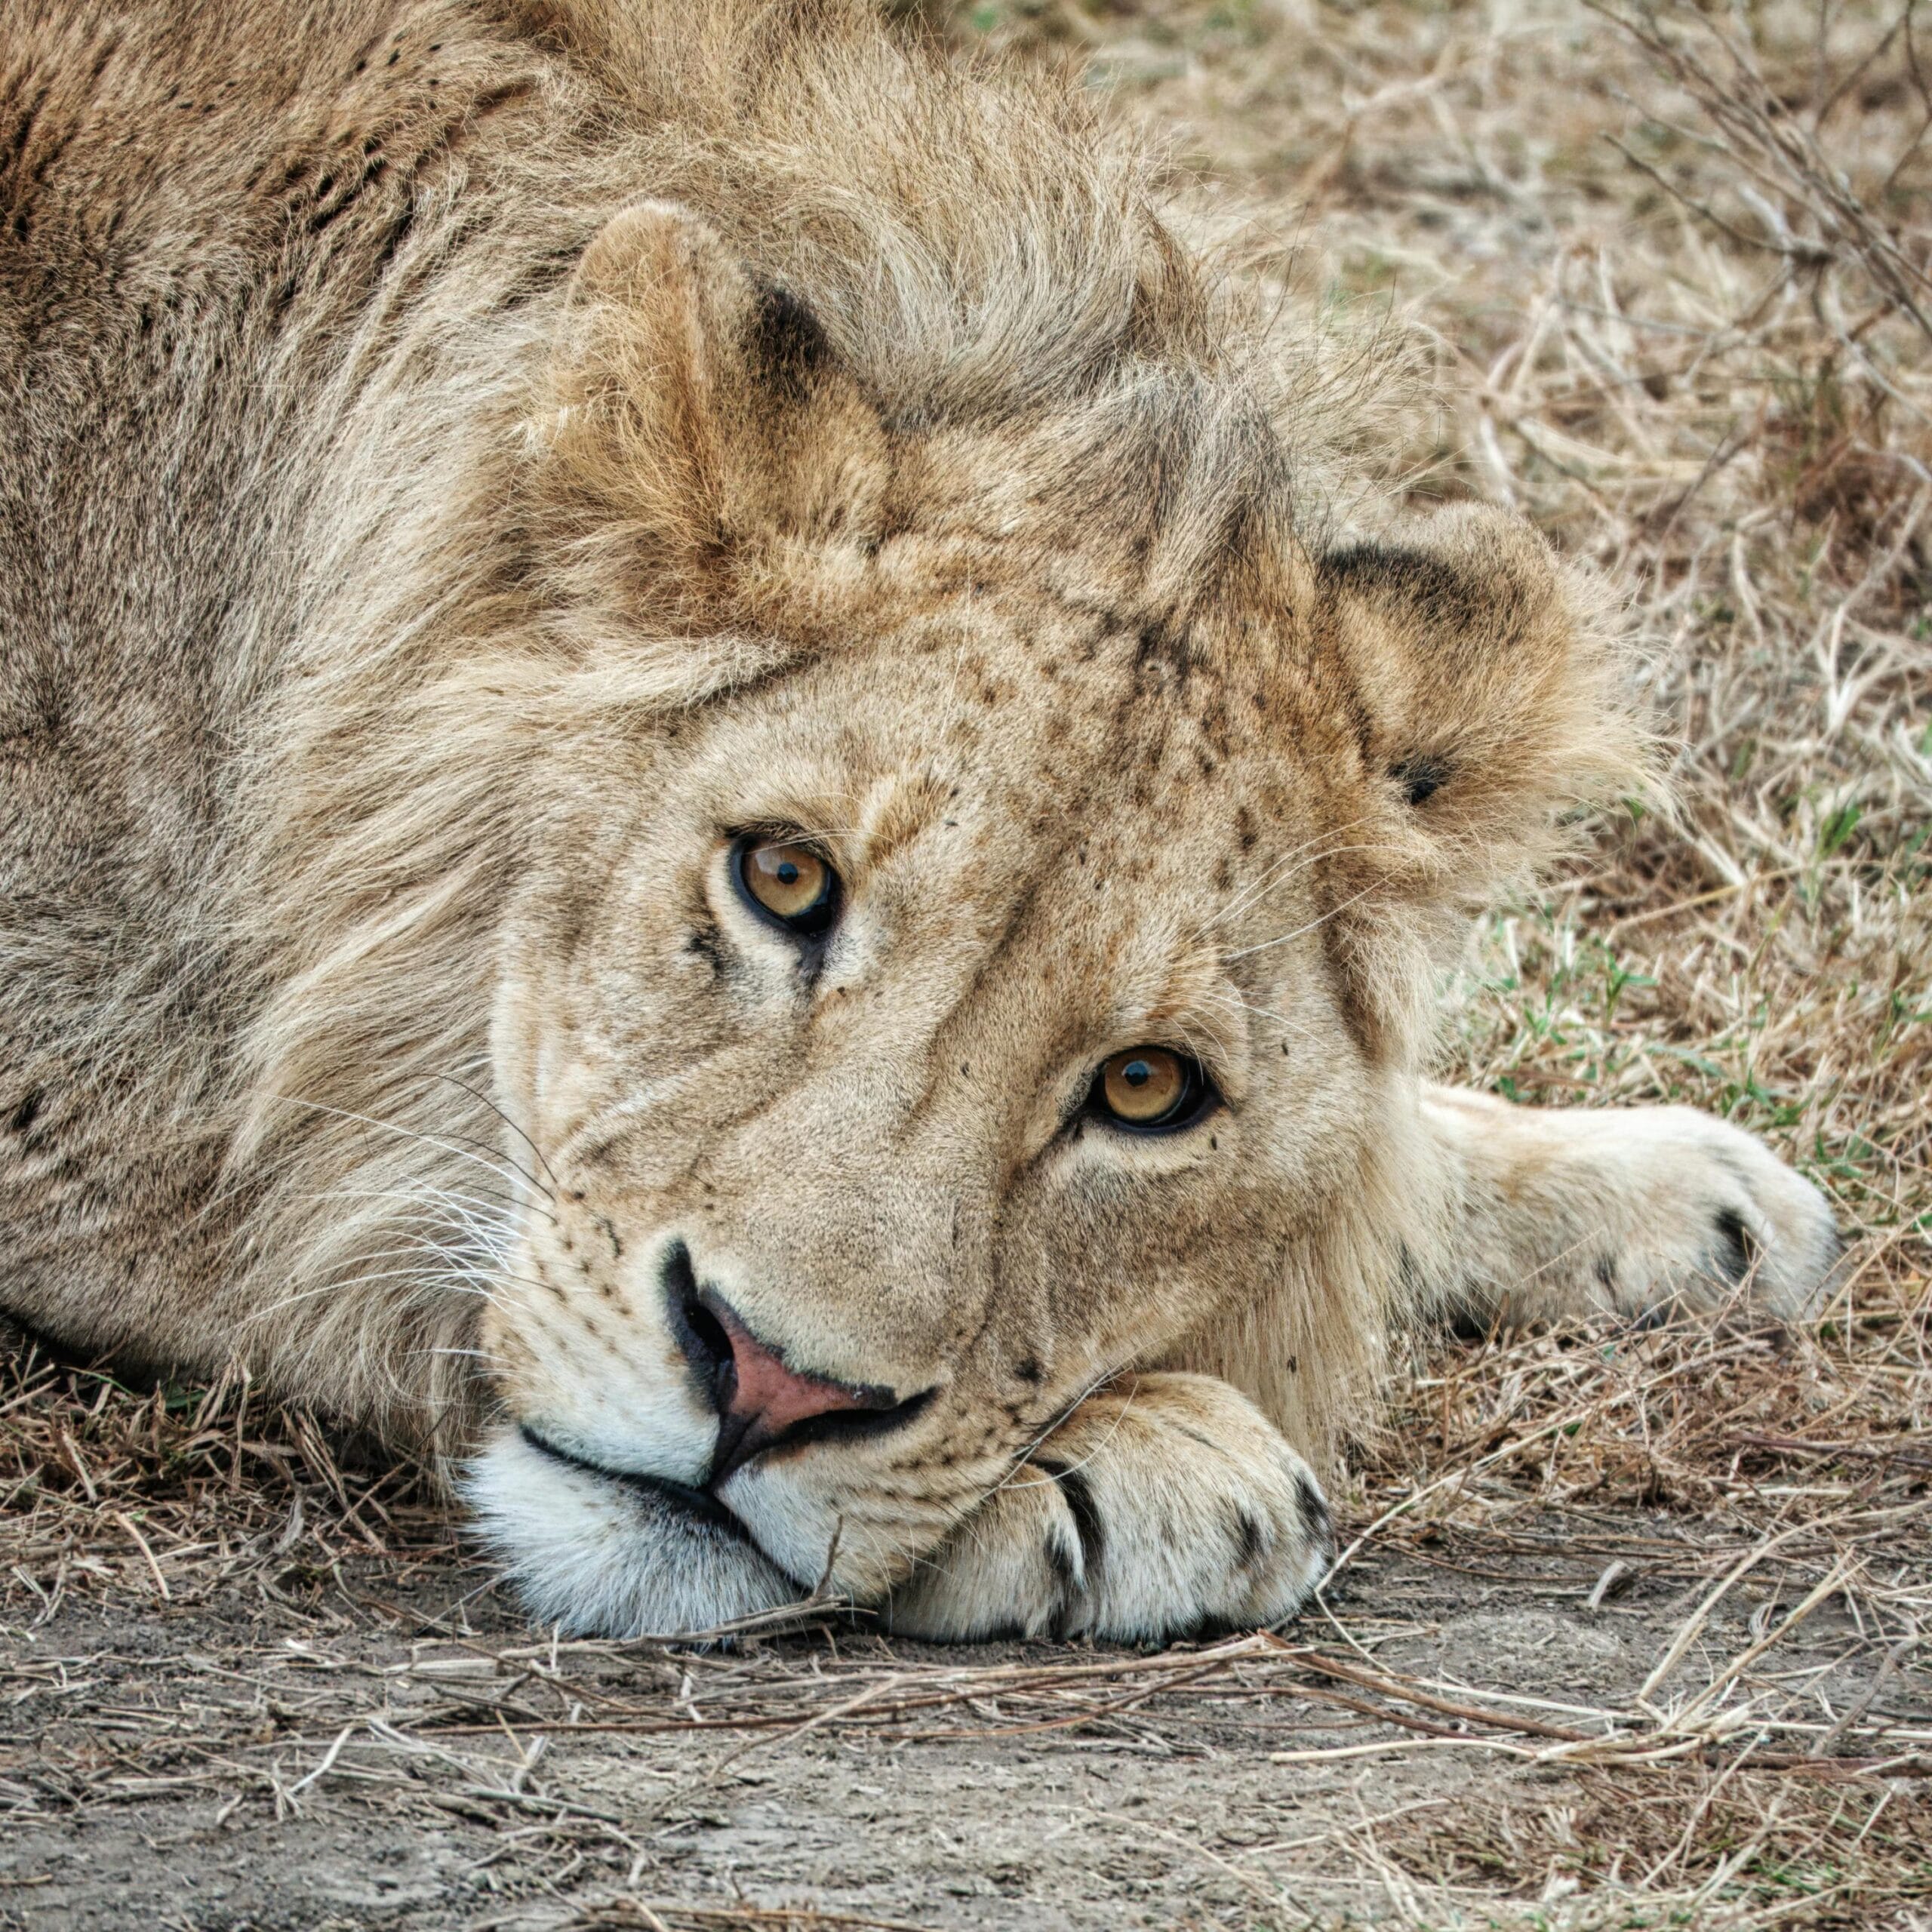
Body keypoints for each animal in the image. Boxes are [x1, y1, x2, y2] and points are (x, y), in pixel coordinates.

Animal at [0, 0, 1841, 1643]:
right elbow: (337, 1257)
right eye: (781, 877)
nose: (767, 1385)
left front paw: (1668, 1189)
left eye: (1146, 1089)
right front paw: (1129, 1463)